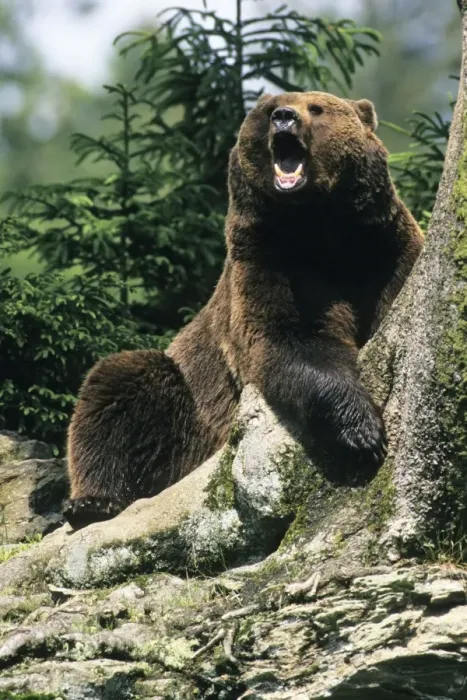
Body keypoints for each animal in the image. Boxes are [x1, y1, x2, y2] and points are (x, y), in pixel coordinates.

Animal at [64, 91, 423, 529]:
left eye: (317, 108)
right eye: (269, 111)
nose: (284, 117)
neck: (320, 230)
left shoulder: (387, 250)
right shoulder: (268, 262)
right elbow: (286, 341)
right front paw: (361, 431)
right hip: (190, 416)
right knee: (120, 385)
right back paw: (92, 502)